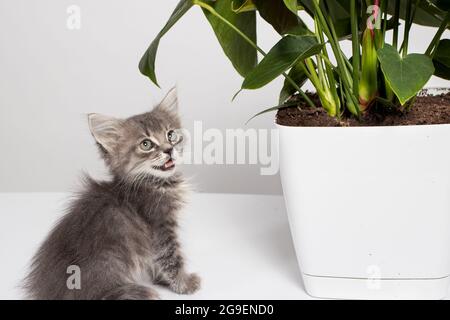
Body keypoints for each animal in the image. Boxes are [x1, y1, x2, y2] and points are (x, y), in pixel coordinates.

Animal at [23, 88, 200, 300]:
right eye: (146, 144)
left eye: (171, 134)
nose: (169, 149)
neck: (156, 183)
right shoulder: (160, 226)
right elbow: (171, 259)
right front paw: (185, 284)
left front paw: (163, 280)